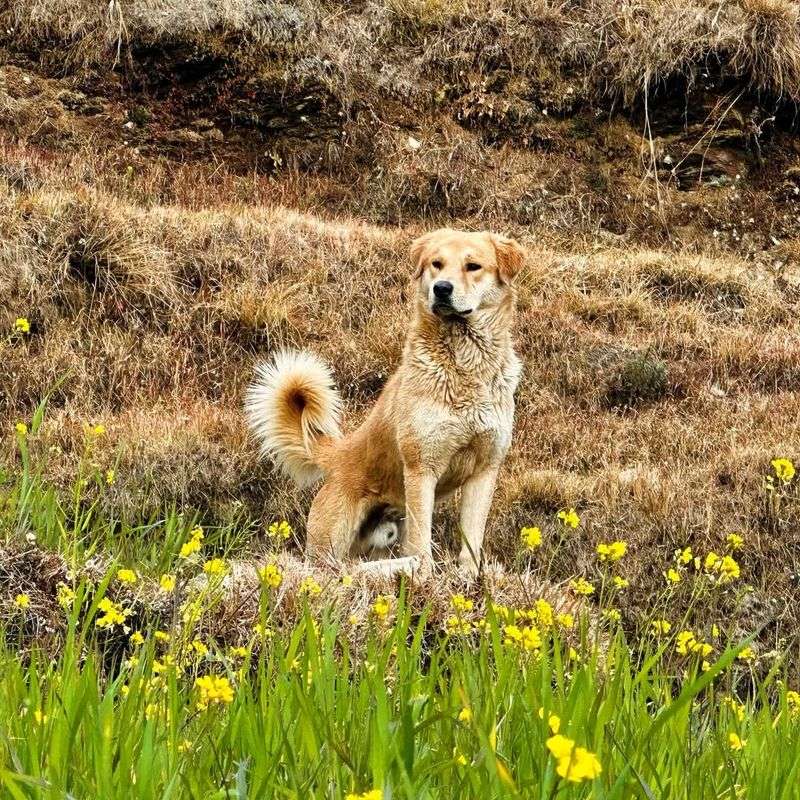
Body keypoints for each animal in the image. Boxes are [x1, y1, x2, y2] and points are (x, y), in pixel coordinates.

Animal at [244, 228, 524, 580]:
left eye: (473, 266)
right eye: (436, 264)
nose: (441, 289)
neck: (465, 369)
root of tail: (340, 454)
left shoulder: (484, 470)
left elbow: (471, 540)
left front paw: (467, 579)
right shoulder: (422, 469)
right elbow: (421, 541)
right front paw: (423, 577)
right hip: (330, 543)